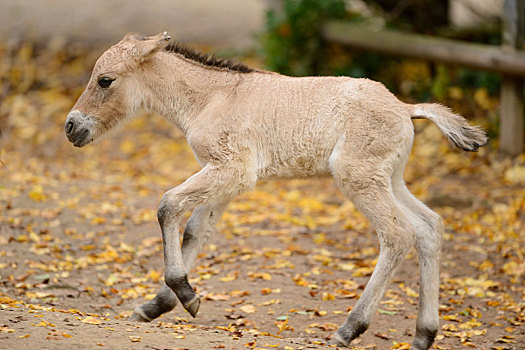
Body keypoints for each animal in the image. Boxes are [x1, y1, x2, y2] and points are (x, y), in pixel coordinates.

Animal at [65, 32, 488, 348]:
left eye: (105, 80)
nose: (71, 127)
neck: (213, 98)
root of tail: (405, 108)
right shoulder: (228, 178)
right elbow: (196, 230)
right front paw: (162, 305)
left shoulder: (230, 169)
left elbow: (168, 206)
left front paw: (183, 292)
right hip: (390, 179)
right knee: (429, 228)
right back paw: (423, 335)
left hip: (359, 179)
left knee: (398, 235)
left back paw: (349, 329)